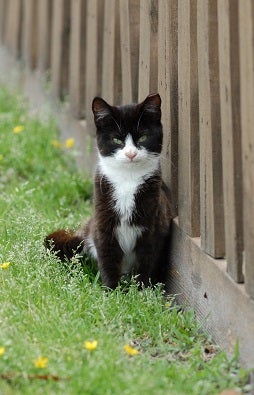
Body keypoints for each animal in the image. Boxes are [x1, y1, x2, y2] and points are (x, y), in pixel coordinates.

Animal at [44, 94, 174, 290]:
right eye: (117, 140)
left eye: (143, 137)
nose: (130, 154)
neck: (128, 179)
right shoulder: (103, 218)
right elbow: (108, 255)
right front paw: (111, 291)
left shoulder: (154, 223)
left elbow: (147, 259)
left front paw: (142, 291)